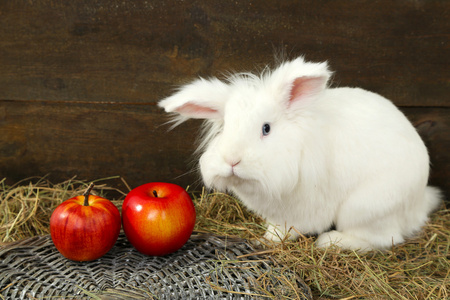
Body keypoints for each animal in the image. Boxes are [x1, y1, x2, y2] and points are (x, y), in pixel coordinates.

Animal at [157, 56, 440, 251]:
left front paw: (273, 240)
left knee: (383, 239)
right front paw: (268, 237)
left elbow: (292, 228)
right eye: (225, 126)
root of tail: (419, 201)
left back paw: (330, 241)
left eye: (266, 128)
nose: (232, 160)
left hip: (365, 209)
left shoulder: (302, 211)